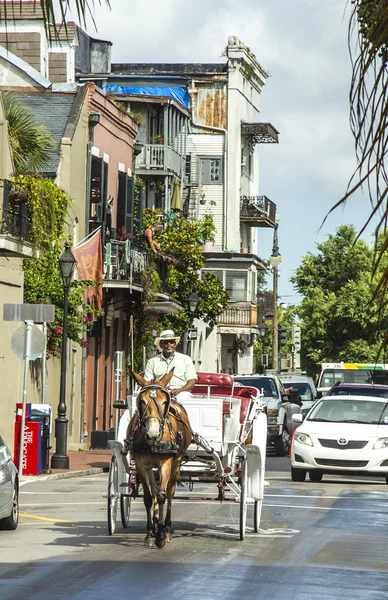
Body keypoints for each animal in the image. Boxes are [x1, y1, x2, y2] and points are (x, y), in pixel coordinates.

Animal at [126, 368, 192, 548]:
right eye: (141, 401)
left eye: (164, 403)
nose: (153, 434)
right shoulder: (142, 464)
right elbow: (149, 497)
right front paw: (150, 533)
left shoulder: (166, 463)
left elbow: (162, 495)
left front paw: (161, 534)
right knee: (154, 490)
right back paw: (156, 524)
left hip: (177, 463)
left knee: (169, 492)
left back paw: (166, 528)